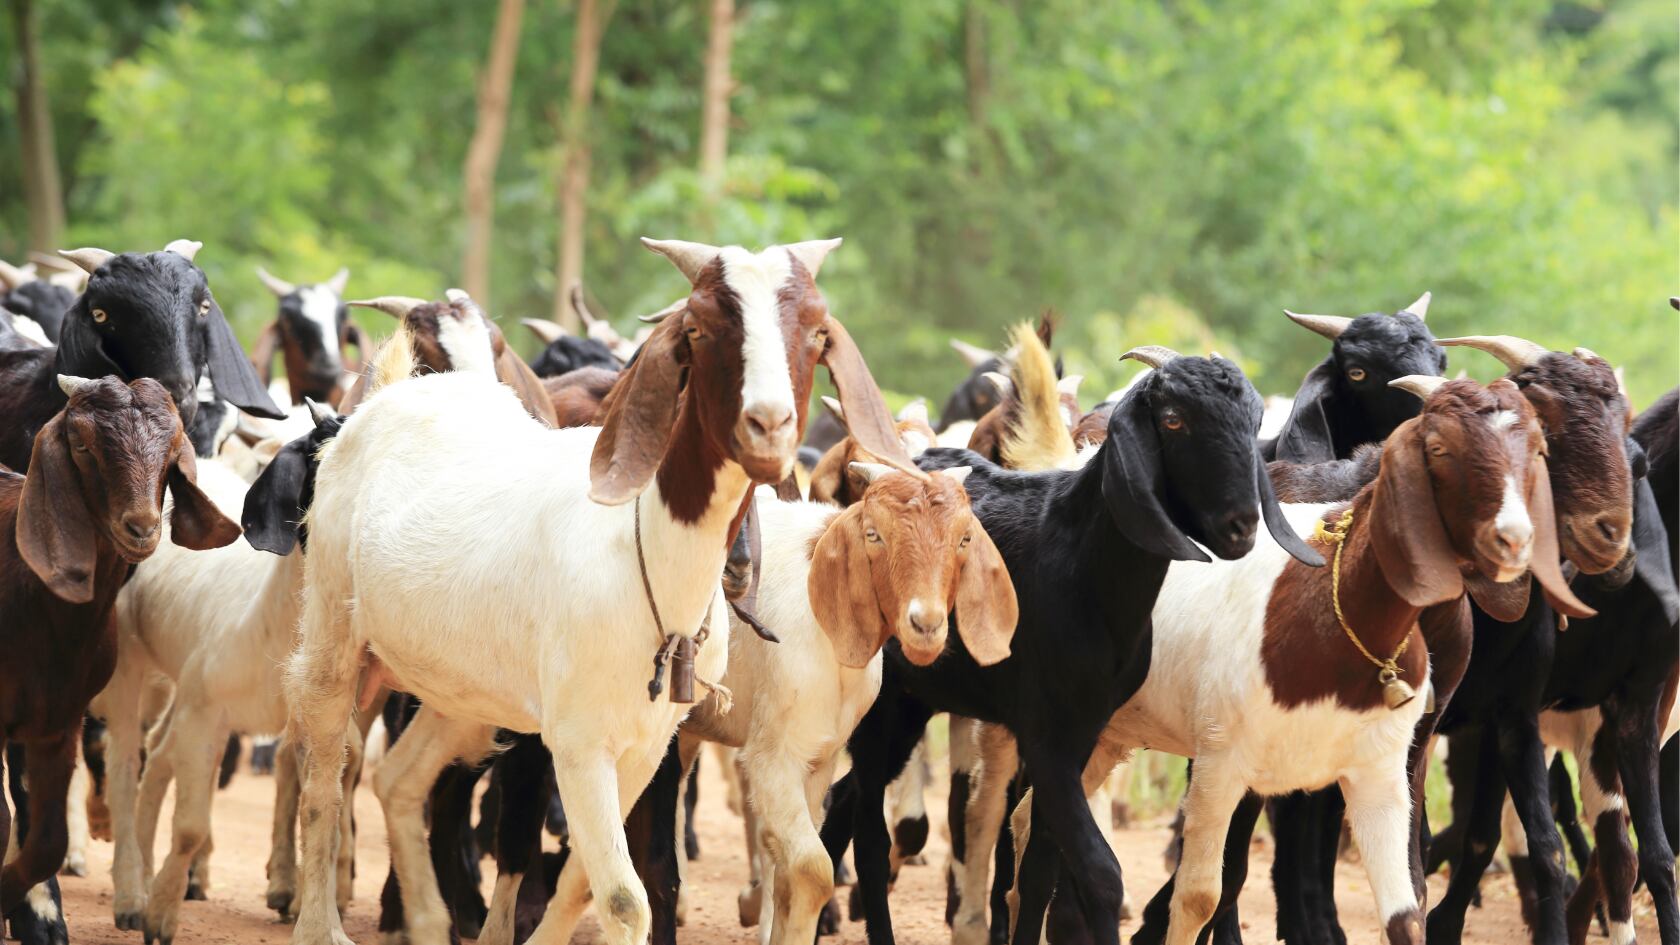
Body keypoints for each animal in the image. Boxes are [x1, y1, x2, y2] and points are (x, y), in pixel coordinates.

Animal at [281, 238, 918, 945]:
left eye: (815, 332)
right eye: (699, 327)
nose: (769, 425)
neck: (649, 562)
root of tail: (388, 397)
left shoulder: (647, 745)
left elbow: (587, 879)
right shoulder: (580, 743)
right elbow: (621, 897)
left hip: (462, 690)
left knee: (399, 779)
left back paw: (426, 919)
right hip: (333, 634)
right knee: (323, 781)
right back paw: (320, 924)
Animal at [822, 344, 1322, 945]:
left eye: (1253, 421)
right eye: (1173, 419)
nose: (1241, 525)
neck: (1081, 563)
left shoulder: (1083, 729)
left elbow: (1040, 865)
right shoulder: (1046, 735)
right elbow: (1099, 871)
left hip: (914, 701)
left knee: (843, 801)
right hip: (882, 703)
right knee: (871, 835)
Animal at [1017, 376, 1591, 945]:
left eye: (1538, 450)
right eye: (1438, 448)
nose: (1514, 540)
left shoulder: (1384, 768)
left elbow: (1406, 910)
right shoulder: (1221, 762)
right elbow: (1201, 894)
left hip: (1108, 736)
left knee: (1030, 825)